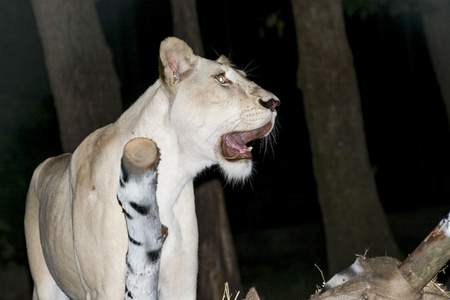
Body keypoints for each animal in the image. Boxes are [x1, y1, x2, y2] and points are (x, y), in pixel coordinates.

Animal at [24, 36, 280, 298]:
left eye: (244, 77)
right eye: (221, 79)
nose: (274, 103)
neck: (168, 181)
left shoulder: (182, 281)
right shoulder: (104, 288)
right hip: (44, 284)